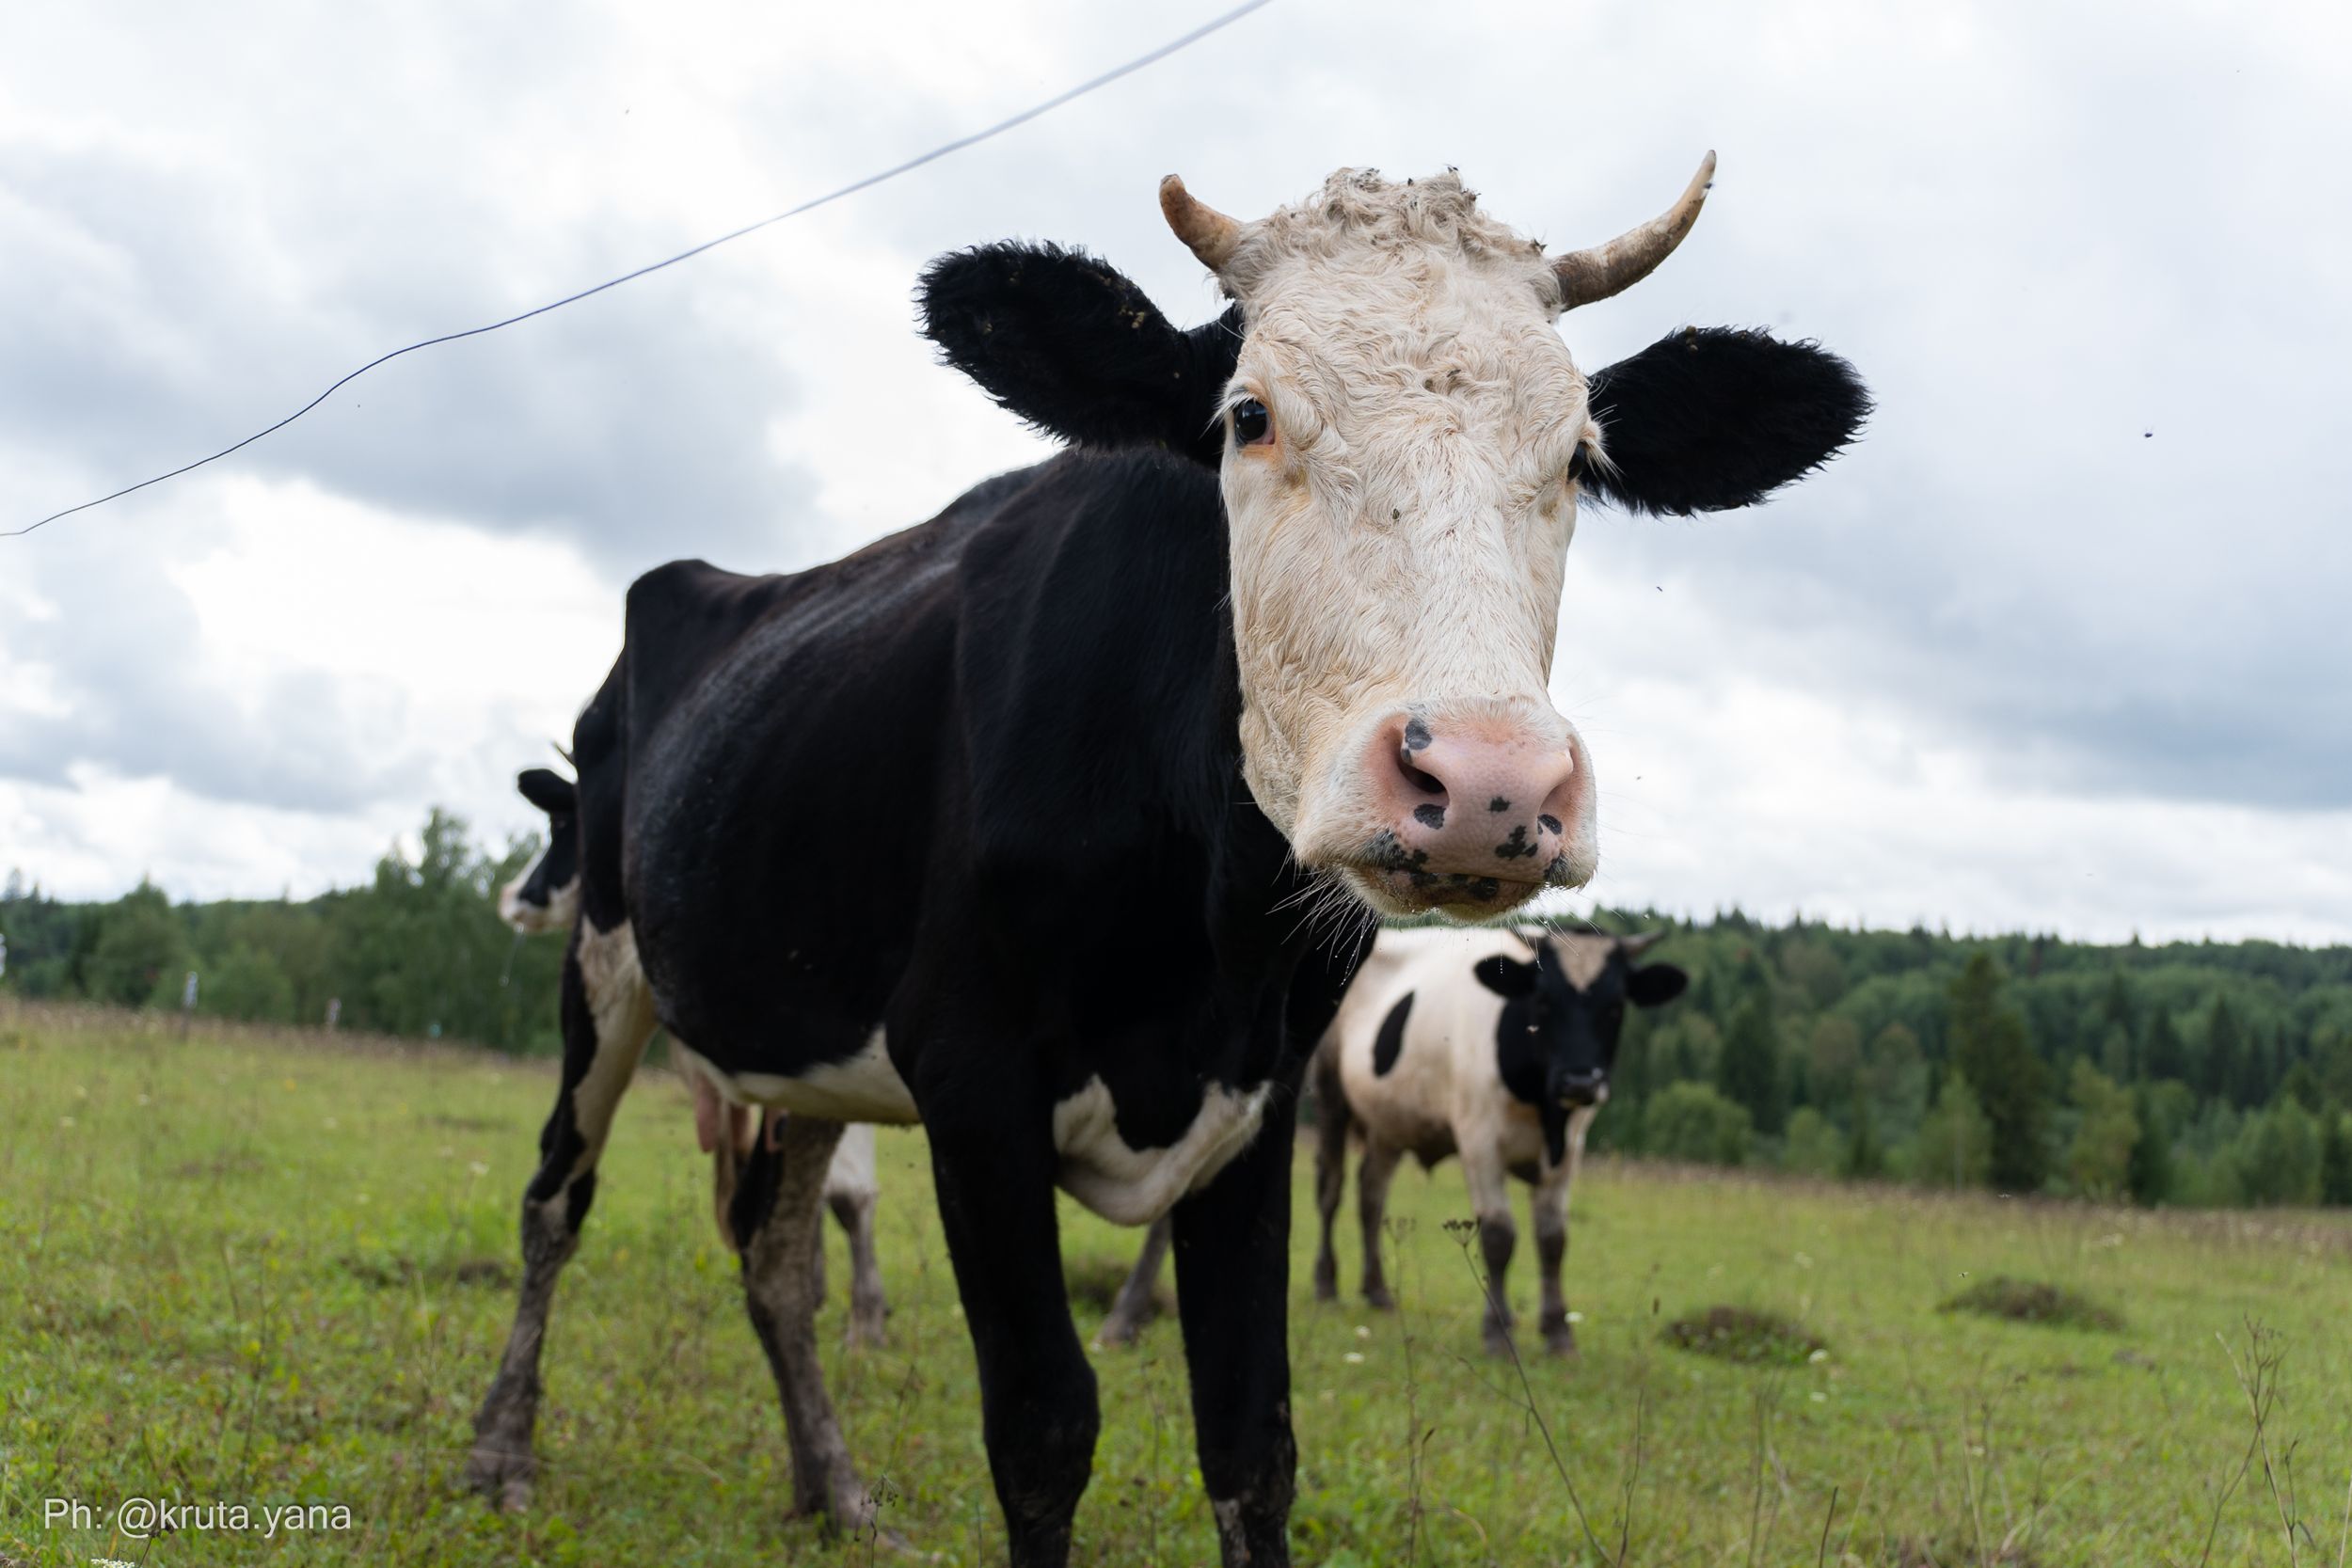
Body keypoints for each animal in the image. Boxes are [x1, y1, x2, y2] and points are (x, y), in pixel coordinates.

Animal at [1317, 926, 1684, 1354]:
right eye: (1543, 1001)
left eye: (1614, 1006)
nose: (1579, 1082)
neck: (1544, 1107)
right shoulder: (1479, 1142)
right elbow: (1498, 1235)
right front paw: (1497, 1331)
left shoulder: (1569, 1152)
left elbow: (1553, 1239)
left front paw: (1558, 1331)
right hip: (1330, 1095)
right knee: (1331, 1188)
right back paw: (1326, 1284)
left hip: (1387, 1124)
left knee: (1371, 1197)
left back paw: (1377, 1291)